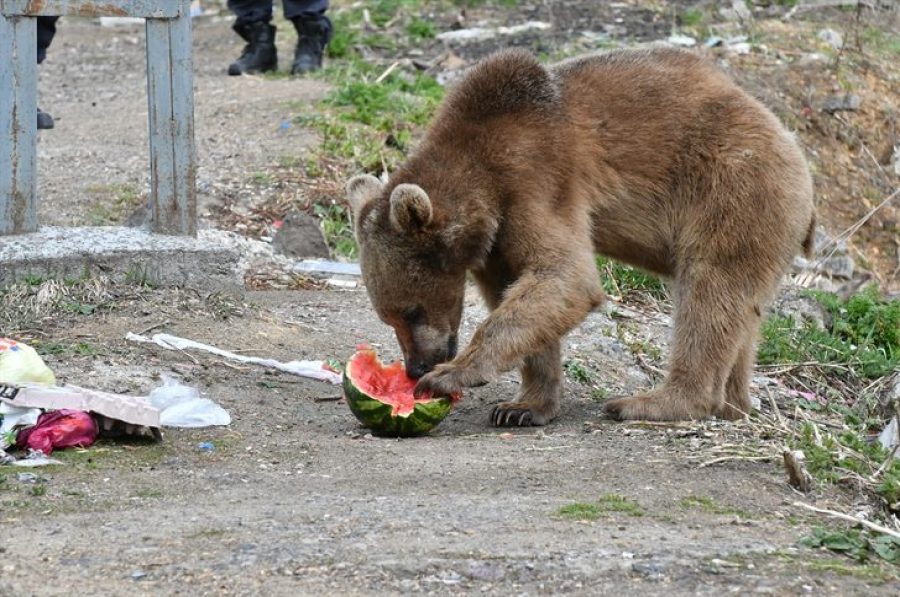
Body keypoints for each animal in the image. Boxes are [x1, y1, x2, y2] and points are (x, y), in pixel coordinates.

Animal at [344, 49, 816, 426]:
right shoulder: (497, 242)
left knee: (709, 294)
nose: (415, 368)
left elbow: (565, 278)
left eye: (411, 310)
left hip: (733, 191)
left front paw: (451, 375)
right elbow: (524, 296)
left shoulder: (538, 180)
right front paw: (522, 406)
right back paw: (733, 402)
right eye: (389, 316)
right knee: (742, 313)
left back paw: (651, 402)